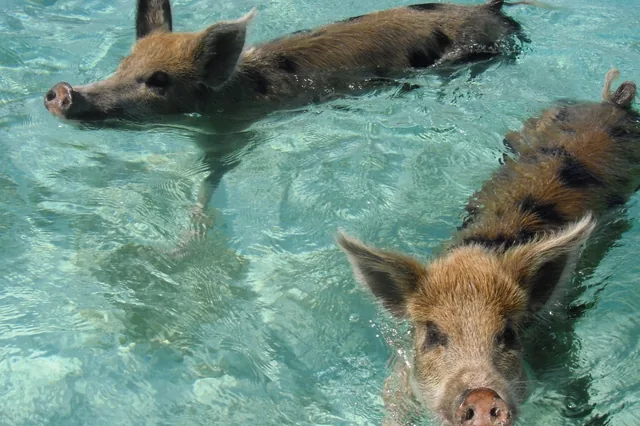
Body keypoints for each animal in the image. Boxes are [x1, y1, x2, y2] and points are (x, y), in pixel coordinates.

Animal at [337, 69, 639, 426]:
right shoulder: (403, 363)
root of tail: (613, 103)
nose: (481, 396)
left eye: (508, 334)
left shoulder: (558, 342)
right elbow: (394, 399)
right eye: (434, 334)